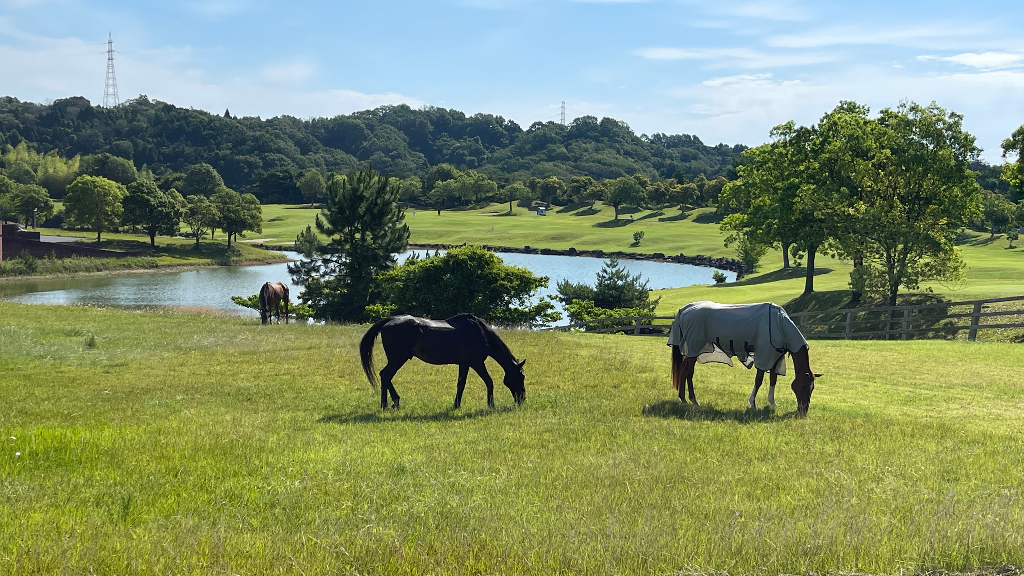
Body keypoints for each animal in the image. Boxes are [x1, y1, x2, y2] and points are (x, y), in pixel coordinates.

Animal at [362, 313, 528, 407]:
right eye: (521, 377)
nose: (522, 399)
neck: (481, 334)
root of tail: (389, 320)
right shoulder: (477, 363)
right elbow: (489, 381)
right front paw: (491, 405)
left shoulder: (464, 364)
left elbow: (461, 384)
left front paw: (456, 405)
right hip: (397, 359)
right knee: (385, 375)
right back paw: (385, 404)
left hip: (397, 359)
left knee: (385, 376)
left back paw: (394, 402)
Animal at [663, 301, 823, 412]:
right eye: (804, 386)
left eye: (812, 388)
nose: (803, 410)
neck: (779, 324)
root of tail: (683, 310)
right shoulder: (764, 355)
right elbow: (759, 380)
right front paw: (752, 403)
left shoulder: (775, 357)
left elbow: (773, 379)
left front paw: (772, 402)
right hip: (694, 348)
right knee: (688, 372)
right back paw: (693, 399)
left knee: (683, 370)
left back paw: (683, 398)